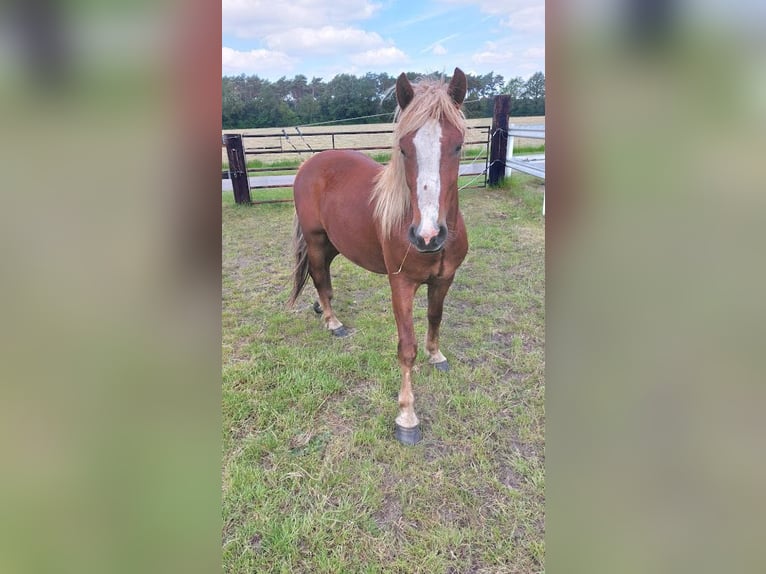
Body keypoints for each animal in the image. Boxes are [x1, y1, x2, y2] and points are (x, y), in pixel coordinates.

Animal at [288, 66, 468, 446]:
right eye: (403, 148)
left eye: (458, 145)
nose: (427, 236)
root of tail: (310, 162)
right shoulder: (401, 285)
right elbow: (406, 348)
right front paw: (407, 417)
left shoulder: (444, 279)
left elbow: (435, 318)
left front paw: (436, 355)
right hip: (315, 240)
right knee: (319, 275)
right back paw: (333, 321)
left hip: (334, 242)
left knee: (323, 276)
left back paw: (320, 309)